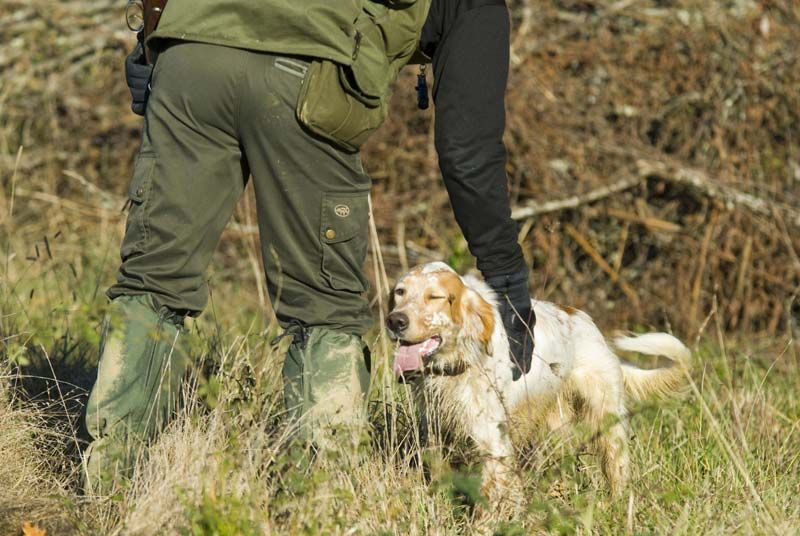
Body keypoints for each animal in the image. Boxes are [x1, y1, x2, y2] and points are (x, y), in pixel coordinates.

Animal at [388, 262, 688, 504]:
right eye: (400, 292)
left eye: (434, 296)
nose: (395, 321)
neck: (459, 363)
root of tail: (588, 323)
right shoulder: (435, 431)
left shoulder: (494, 445)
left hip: (607, 423)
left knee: (617, 468)